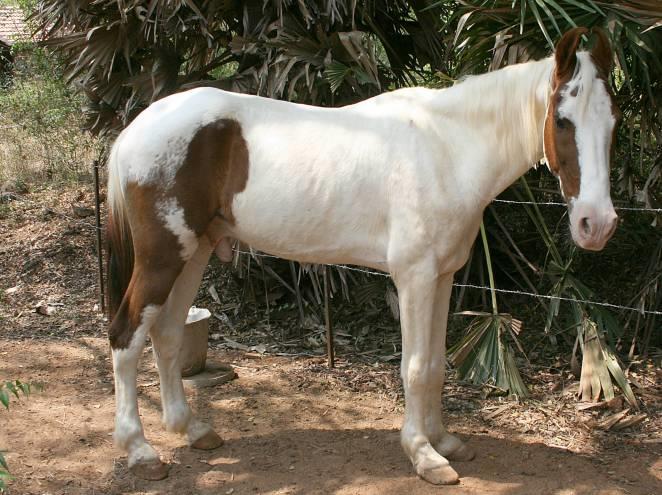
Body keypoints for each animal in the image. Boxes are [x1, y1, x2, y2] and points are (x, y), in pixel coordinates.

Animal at [106, 27, 620, 484]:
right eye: (563, 120)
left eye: (612, 122)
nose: (597, 225)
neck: (447, 150)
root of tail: (134, 130)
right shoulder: (414, 277)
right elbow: (415, 368)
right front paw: (424, 455)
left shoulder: (443, 277)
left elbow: (435, 364)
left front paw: (443, 440)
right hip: (162, 257)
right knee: (126, 335)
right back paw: (140, 451)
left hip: (194, 252)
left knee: (167, 333)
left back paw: (191, 430)